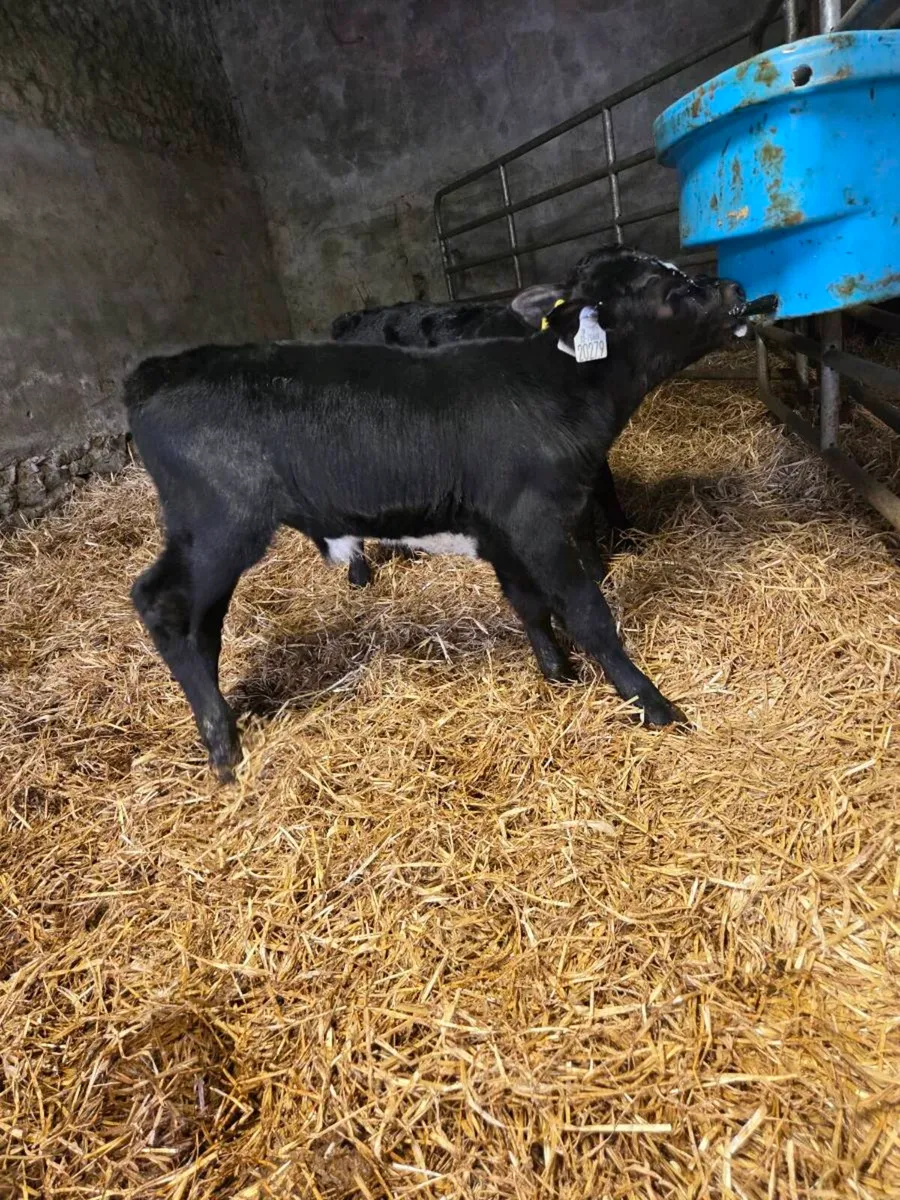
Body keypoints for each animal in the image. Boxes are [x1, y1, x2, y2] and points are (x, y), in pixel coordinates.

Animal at [125, 245, 750, 780]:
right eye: (667, 287)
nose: (737, 288)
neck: (557, 385)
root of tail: (154, 373)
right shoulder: (536, 522)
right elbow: (588, 613)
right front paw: (652, 703)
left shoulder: (501, 530)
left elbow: (529, 604)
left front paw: (558, 675)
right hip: (219, 526)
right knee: (162, 604)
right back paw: (222, 745)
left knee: (201, 625)